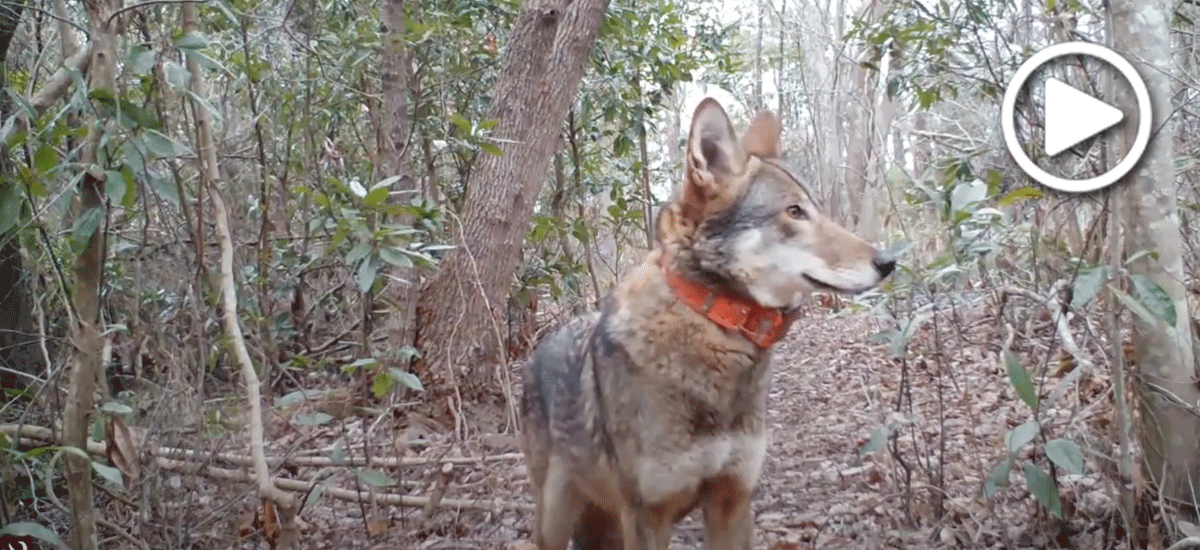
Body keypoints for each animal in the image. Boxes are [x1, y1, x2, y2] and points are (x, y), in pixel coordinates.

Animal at [519, 97, 896, 550]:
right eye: (794, 212)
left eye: (815, 210)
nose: (889, 261)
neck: (714, 323)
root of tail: (538, 350)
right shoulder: (648, 517)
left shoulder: (732, 501)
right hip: (556, 522)